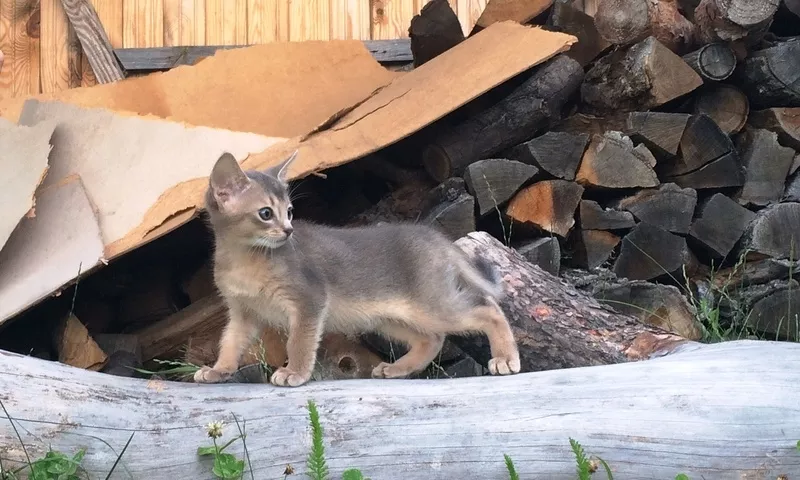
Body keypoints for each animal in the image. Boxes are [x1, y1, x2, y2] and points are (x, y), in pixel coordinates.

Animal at [193, 152, 520, 388]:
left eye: (289, 212)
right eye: (265, 213)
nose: (288, 231)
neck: (244, 260)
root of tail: (434, 237)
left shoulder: (310, 300)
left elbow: (298, 342)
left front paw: (294, 372)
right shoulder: (243, 312)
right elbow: (230, 343)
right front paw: (217, 370)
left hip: (433, 305)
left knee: (488, 309)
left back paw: (505, 358)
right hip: (389, 317)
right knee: (432, 338)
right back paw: (398, 368)